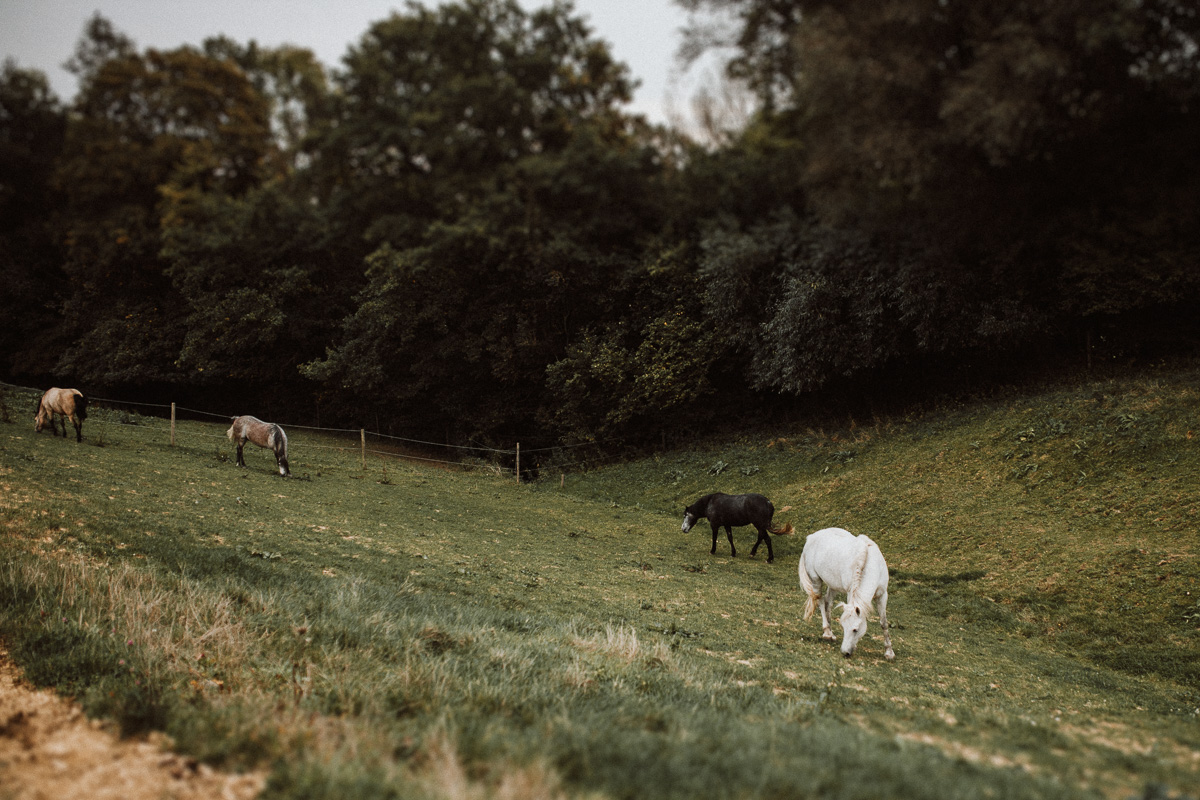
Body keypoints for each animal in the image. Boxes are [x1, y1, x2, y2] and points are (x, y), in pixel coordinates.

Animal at [796, 527, 892, 662]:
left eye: (855, 630)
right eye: (843, 627)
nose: (845, 652)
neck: (870, 564)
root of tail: (811, 537)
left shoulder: (882, 595)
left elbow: (883, 623)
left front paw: (889, 652)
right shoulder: (850, 593)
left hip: (833, 585)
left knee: (828, 603)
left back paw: (830, 631)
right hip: (815, 580)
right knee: (821, 602)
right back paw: (827, 632)